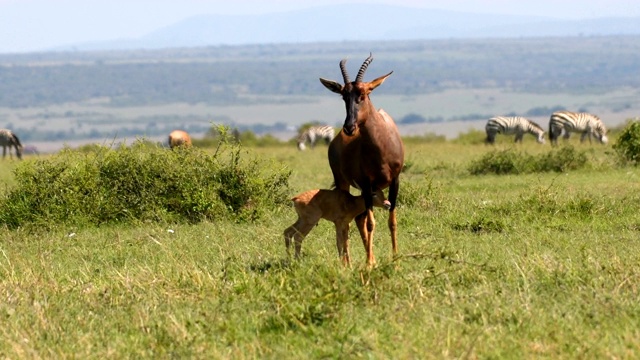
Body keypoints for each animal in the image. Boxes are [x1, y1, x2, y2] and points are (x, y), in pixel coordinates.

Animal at [320, 54, 404, 268]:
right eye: (344, 96)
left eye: (364, 94)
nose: (349, 127)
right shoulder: (367, 184)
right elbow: (371, 223)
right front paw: (368, 263)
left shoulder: (395, 181)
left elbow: (392, 221)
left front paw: (395, 257)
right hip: (343, 183)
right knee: (350, 221)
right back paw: (347, 261)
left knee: (358, 218)